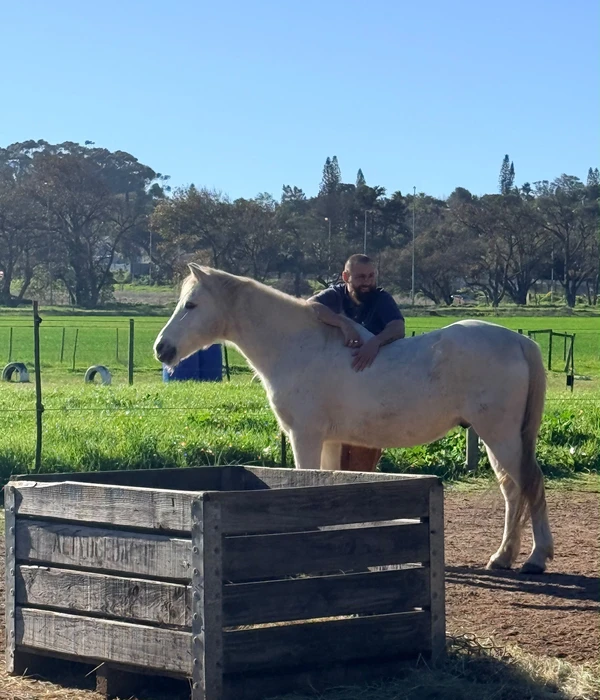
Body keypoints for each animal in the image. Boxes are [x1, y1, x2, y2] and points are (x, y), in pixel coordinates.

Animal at [154, 264, 554, 574]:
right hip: (498, 439)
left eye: (191, 304)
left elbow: (304, 481)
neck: (301, 348)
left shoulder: (305, 436)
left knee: (528, 485)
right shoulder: (331, 441)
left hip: (500, 436)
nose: (162, 349)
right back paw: (506, 557)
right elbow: (328, 482)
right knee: (514, 490)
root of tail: (520, 342)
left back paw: (532, 559)